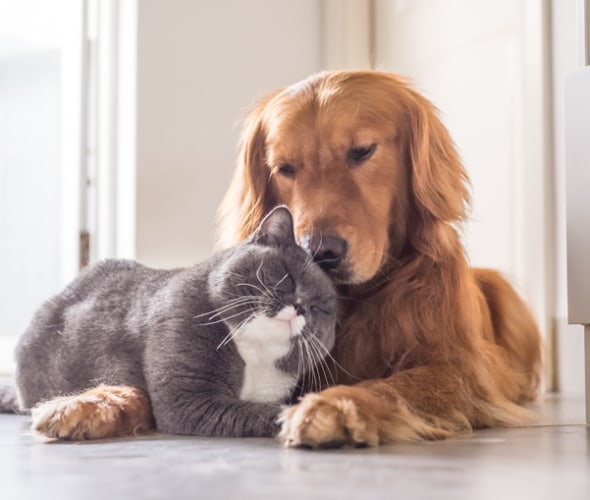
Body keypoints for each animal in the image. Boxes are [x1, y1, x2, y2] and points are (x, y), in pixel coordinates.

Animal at [5, 207, 338, 438]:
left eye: (320, 307)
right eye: (287, 276)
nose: (300, 307)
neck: (254, 355)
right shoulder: (189, 399)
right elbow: (266, 412)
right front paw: (308, 417)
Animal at [217, 69, 540, 446]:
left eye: (362, 151)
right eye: (284, 168)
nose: (319, 252)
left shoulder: (460, 368)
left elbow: (393, 385)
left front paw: (334, 405)